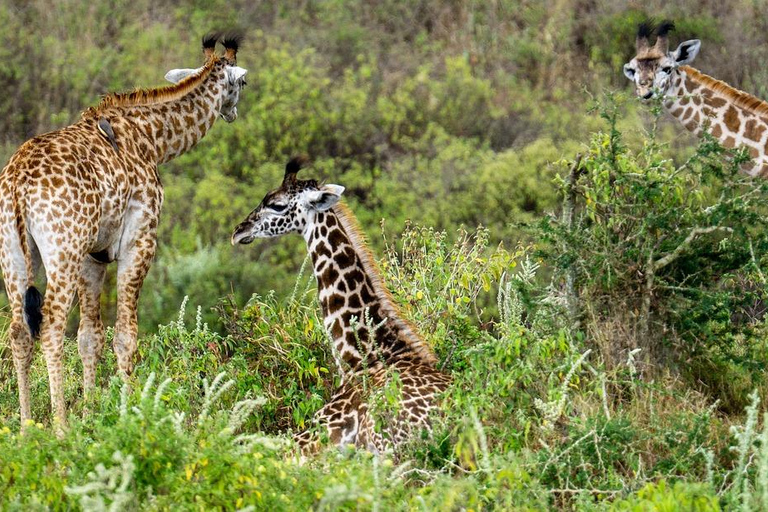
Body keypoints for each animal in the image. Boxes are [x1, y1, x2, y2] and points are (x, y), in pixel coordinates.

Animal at [0, 33, 246, 428]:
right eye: (243, 84)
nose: (232, 113)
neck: (152, 140)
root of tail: (18, 183)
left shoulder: (93, 256)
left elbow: (89, 337)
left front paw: (90, 415)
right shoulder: (140, 241)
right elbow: (126, 336)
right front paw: (129, 414)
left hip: (13, 252)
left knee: (19, 330)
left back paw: (26, 429)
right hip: (61, 250)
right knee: (51, 326)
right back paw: (60, 429)